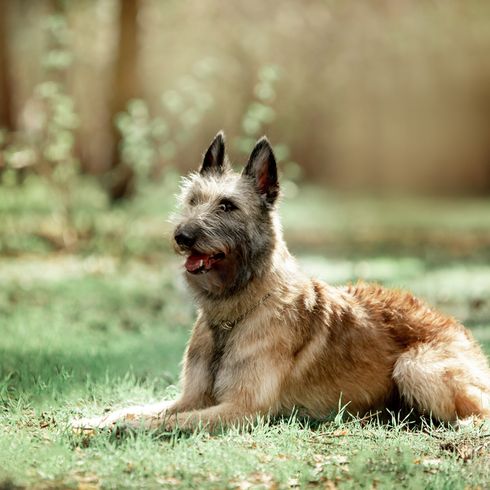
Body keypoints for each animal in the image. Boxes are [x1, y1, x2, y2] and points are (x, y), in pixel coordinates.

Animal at [72, 131, 490, 432]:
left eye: (227, 206)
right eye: (192, 200)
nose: (182, 236)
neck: (234, 312)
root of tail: (458, 327)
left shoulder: (241, 410)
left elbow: (165, 423)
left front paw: (120, 430)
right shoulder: (191, 398)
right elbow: (136, 409)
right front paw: (95, 419)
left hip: (414, 368)